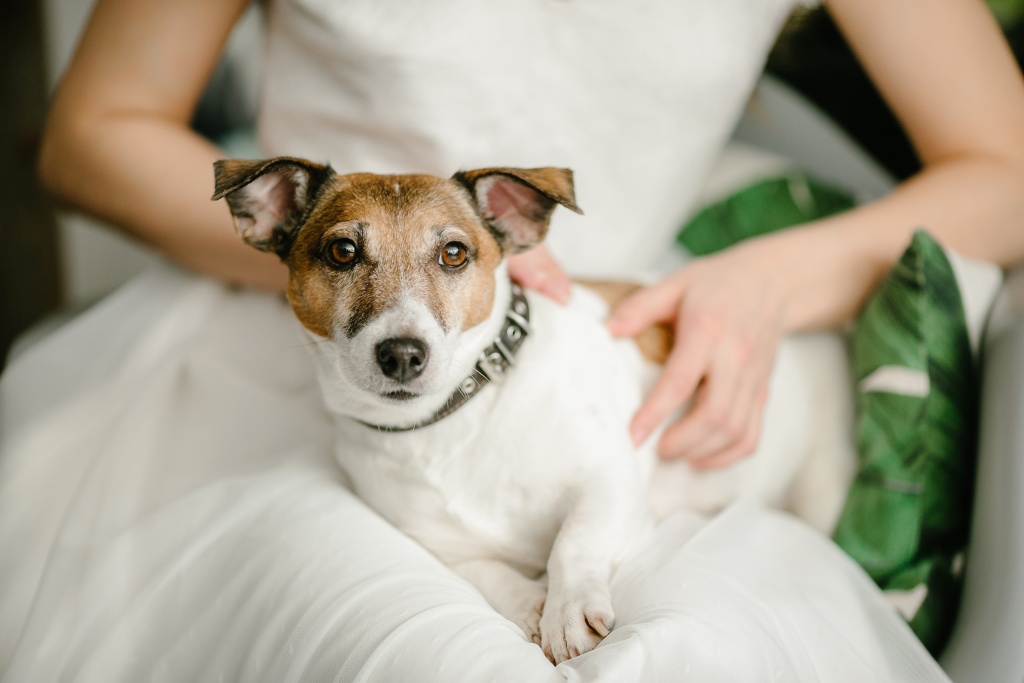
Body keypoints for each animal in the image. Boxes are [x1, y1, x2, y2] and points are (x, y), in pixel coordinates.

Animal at [212, 157, 855, 663]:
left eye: (454, 253)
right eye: (342, 251)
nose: (402, 355)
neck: (456, 419)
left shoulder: (611, 480)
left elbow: (573, 540)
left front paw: (566, 613)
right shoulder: (441, 543)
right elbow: (490, 574)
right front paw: (533, 603)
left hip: (823, 488)